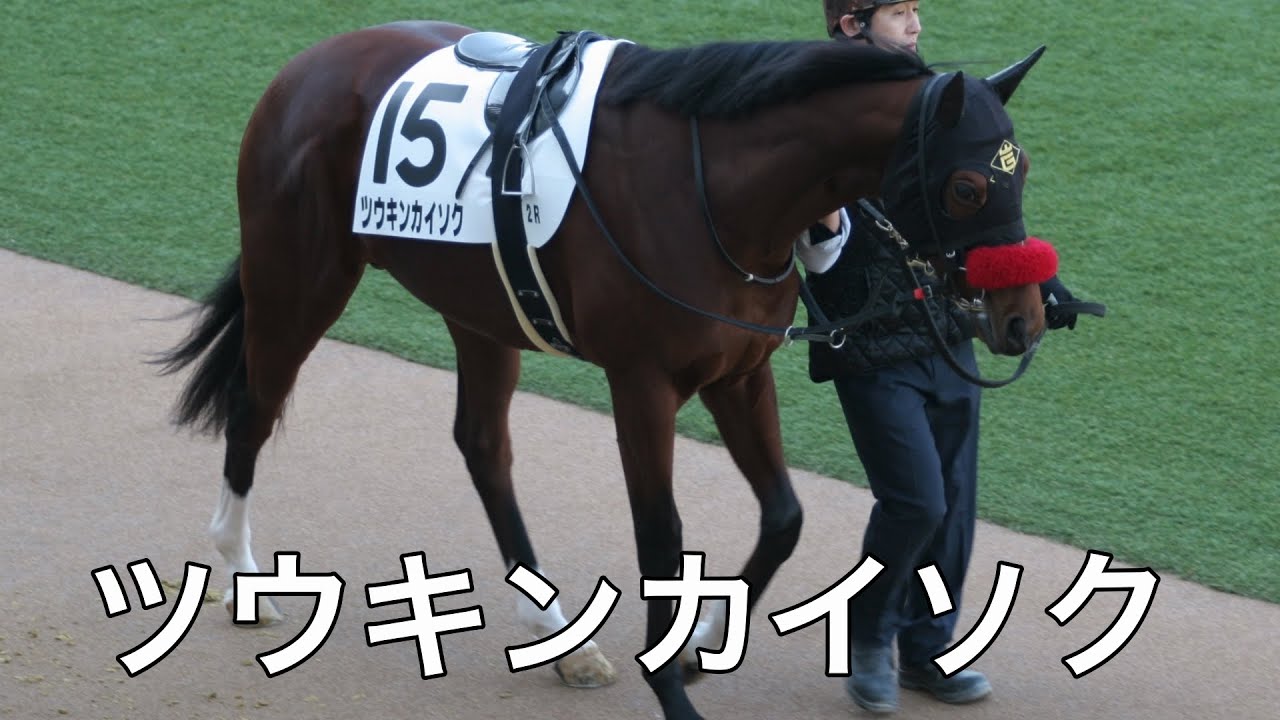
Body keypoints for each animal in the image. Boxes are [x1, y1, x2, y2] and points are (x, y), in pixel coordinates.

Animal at [155, 19, 1048, 720]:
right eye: (969, 186)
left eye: (1025, 168)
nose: (1025, 318)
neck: (715, 189)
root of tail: (307, 62)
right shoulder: (643, 381)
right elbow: (662, 534)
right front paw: (675, 688)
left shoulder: (739, 371)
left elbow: (786, 516)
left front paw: (700, 647)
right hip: (300, 275)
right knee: (254, 404)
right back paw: (242, 577)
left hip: (481, 309)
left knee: (482, 445)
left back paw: (559, 638)